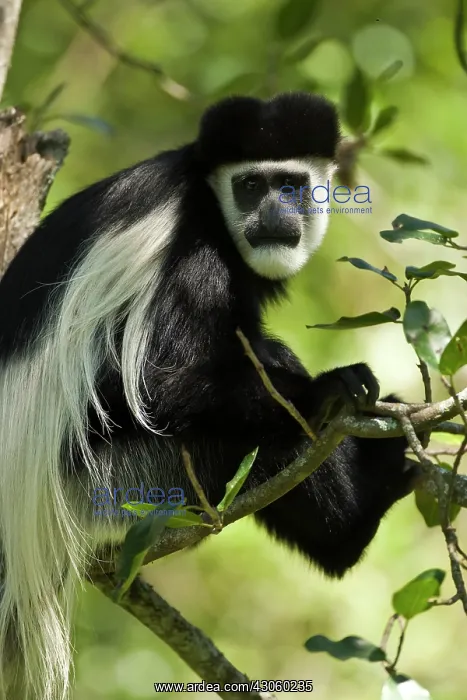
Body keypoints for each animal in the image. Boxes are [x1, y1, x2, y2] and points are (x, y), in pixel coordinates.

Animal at [0, 92, 414, 699]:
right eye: (250, 186)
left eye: (290, 184)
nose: (274, 216)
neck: (208, 202)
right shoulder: (186, 244)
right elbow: (160, 383)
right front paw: (330, 387)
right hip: (121, 483)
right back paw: (355, 518)